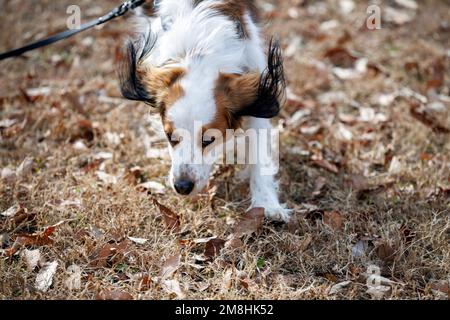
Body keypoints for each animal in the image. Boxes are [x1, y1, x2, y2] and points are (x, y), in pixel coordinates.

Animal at [119, 0, 290, 222]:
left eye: (209, 140)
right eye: (170, 136)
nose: (182, 186)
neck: (198, 49)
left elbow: (259, 154)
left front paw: (267, 203)